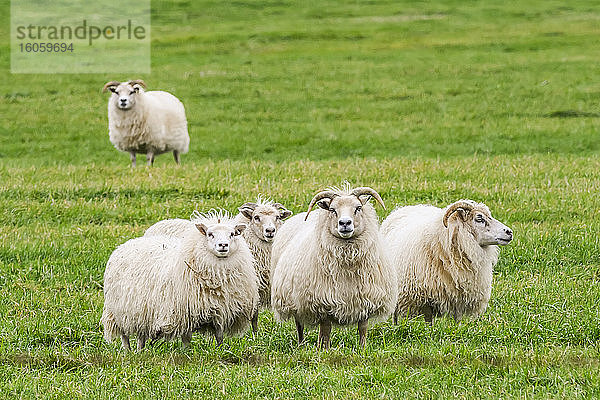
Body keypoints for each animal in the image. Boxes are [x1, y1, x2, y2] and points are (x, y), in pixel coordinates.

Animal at [100, 209, 258, 350]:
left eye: (232, 234)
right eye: (210, 234)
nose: (223, 245)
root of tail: (124, 245)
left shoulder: (221, 311)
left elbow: (219, 336)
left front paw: (220, 351)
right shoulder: (184, 312)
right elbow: (186, 338)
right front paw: (186, 353)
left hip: (142, 312)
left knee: (140, 336)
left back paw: (140, 352)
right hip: (118, 311)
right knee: (124, 335)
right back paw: (128, 351)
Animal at [233, 197, 292, 332]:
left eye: (278, 217)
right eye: (256, 217)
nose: (270, 231)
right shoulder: (254, 287)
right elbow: (254, 315)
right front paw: (255, 334)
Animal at [270, 185, 394, 350]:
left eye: (358, 208)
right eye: (332, 209)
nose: (345, 223)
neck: (348, 265)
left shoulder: (366, 300)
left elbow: (363, 328)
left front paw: (362, 348)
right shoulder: (323, 303)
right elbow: (325, 331)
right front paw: (324, 350)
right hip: (294, 299)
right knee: (299, 324)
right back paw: (301, 345)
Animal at [382, 198, 512, 324]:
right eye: (479, 218)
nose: (509, 232)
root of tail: (403, 208)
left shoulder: (459, 300)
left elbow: (457, 322)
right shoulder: (426, 300)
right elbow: (429, 322)